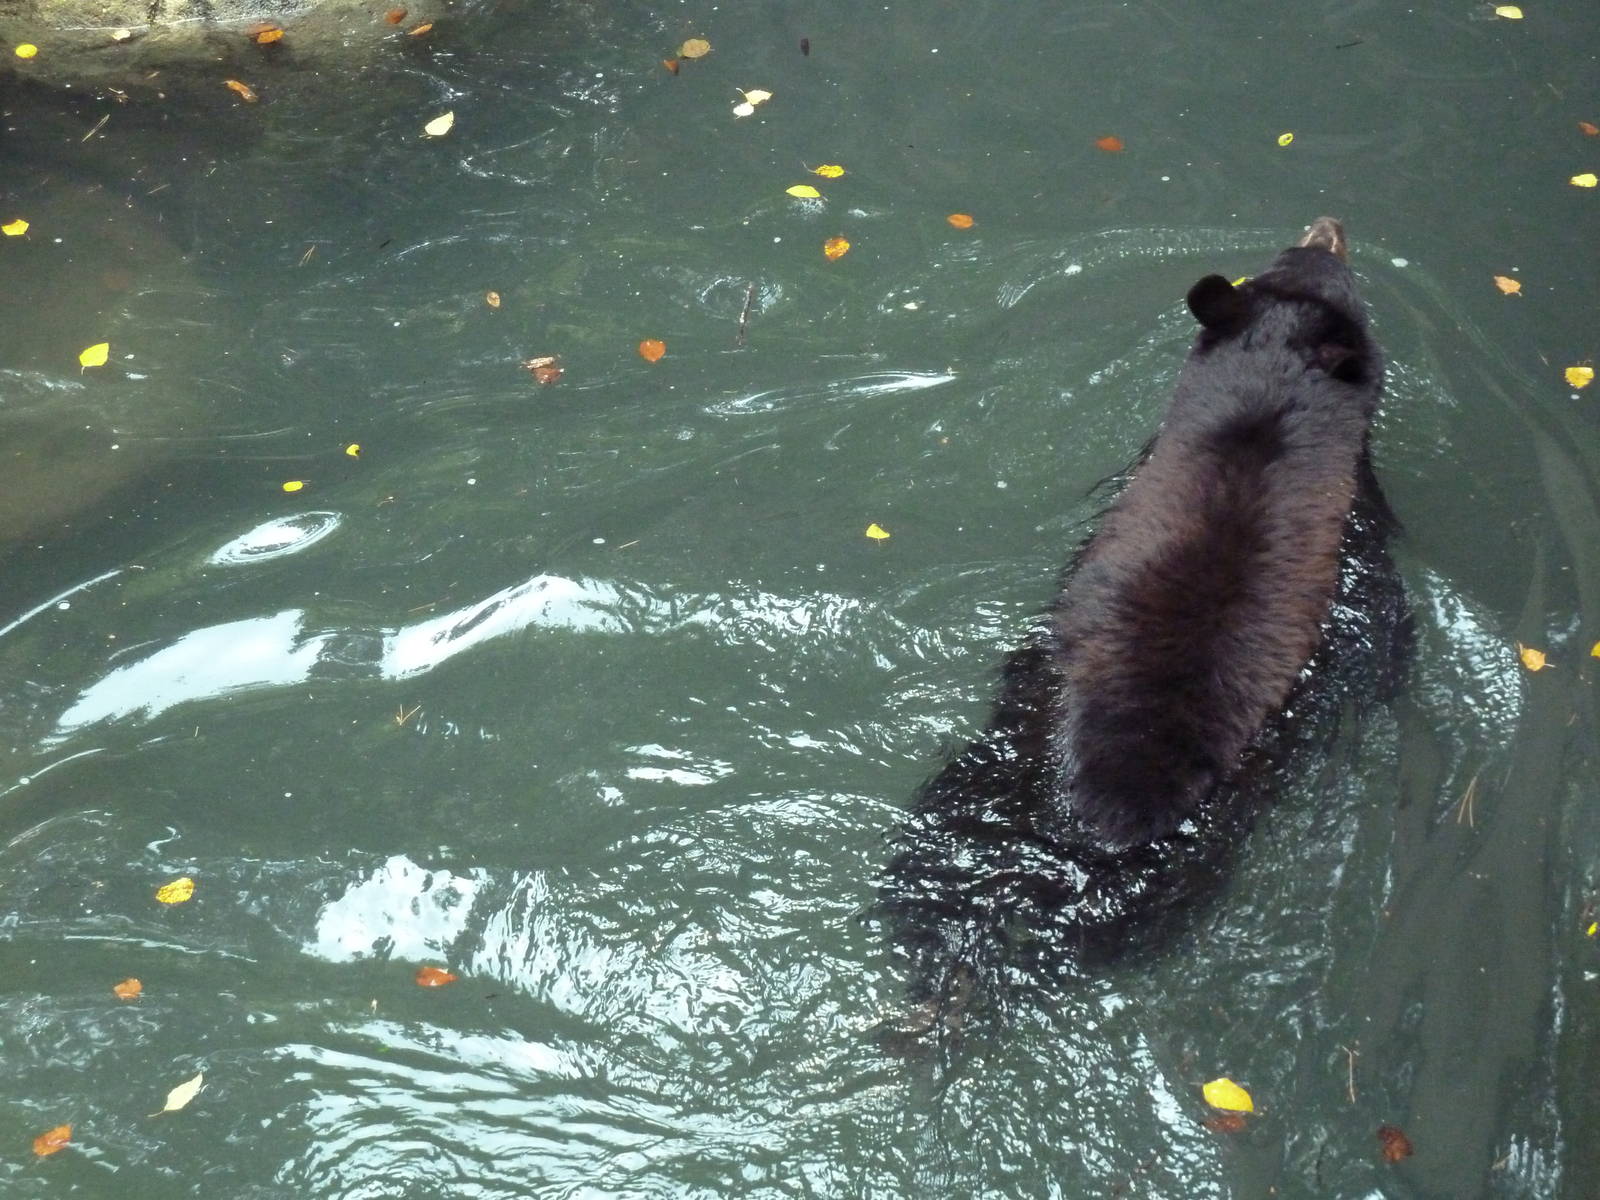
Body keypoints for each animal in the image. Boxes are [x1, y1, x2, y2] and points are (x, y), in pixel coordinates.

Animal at [876, 218, 1408, 1029]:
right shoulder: (1360, 519)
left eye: (1302, 254)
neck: (1263, 415)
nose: (1329, 225)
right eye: (1324, 259)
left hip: (966, 787)